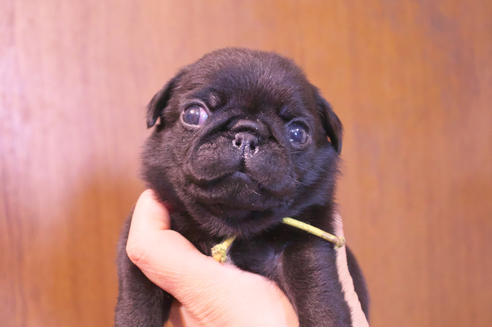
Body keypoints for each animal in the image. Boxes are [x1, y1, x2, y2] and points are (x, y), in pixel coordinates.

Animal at [115, 47, 368, 326]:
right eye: (193, 115)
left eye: (297, 133)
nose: (247, 134)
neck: (233, 223)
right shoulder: (136, 254)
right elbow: (137, 302)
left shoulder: (308, 239)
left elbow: (317, 289)